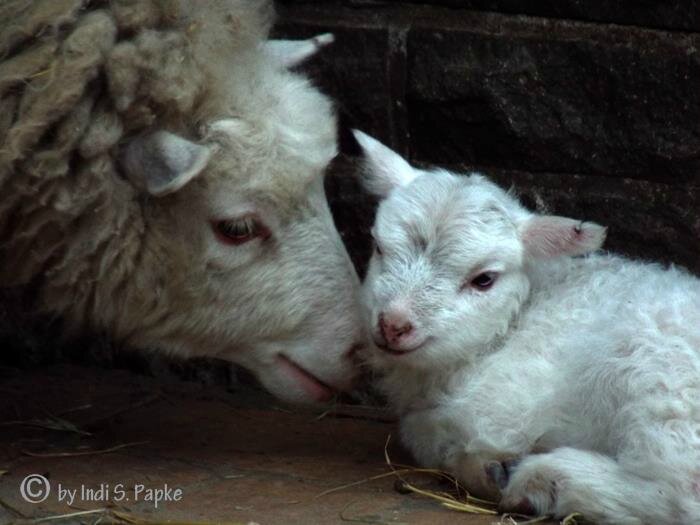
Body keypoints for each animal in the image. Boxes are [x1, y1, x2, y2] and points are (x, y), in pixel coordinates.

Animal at [356, 130, 700, 524]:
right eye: (378, 247)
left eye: (484, 279)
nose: (393, 324)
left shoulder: (500, 410)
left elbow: (429, 434)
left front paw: (485, 467)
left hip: (659, 377)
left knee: (679, 490)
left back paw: (540, 479)